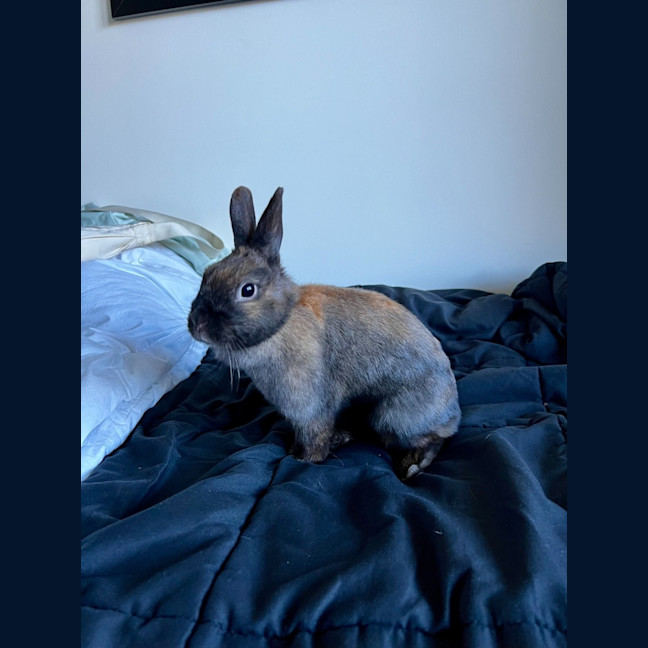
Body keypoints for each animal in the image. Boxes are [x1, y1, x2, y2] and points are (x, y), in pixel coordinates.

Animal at [188, 186, 461, 479]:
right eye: (207, 274)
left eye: (247, 290)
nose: (197, 325)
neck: (281, 325)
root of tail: (453, 412)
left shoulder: (310, 407)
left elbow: (314, 435)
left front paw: (303, 459)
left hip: (394, 416)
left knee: (433, 438)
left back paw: (412, 465)